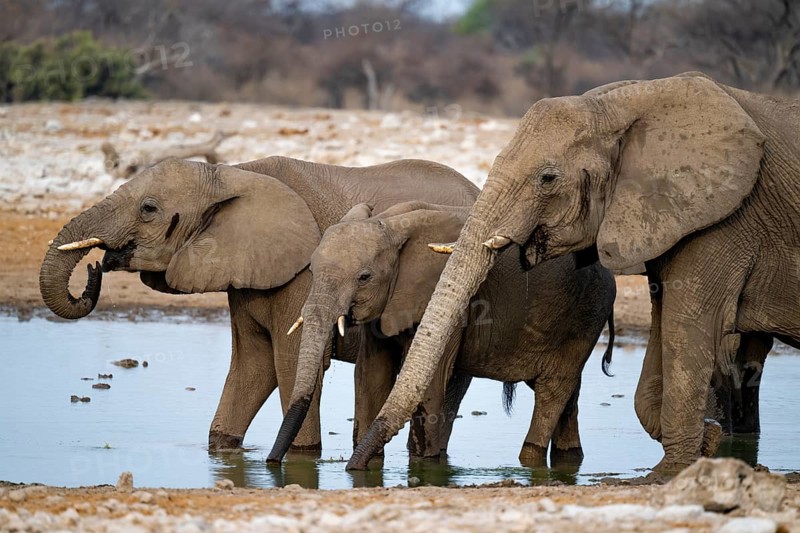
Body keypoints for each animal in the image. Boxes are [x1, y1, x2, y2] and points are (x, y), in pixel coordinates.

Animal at [39, 156, 478, 454]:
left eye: (148, 209)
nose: (96, 268)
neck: (232, 173)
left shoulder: (302, 274)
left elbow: (289, 364)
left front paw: (300, 456)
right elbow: (253, 364)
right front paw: (223, 447)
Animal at [266, 199, 616, 467]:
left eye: (364, 277)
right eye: (312, 270)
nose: (271, 462)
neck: (391, 224)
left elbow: (432, 379)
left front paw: (424, 464)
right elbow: (371, 374)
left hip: (585, 316)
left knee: (553, 390)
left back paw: (530, 459)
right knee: (568, 396)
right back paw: (570, 458)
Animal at [347, 71, 800, 473]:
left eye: (548, 178)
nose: (353, 470)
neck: (629, 102)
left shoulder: (729, 219)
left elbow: (689, 326)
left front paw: (669, 472)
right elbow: (664, 326)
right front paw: (707, 441)